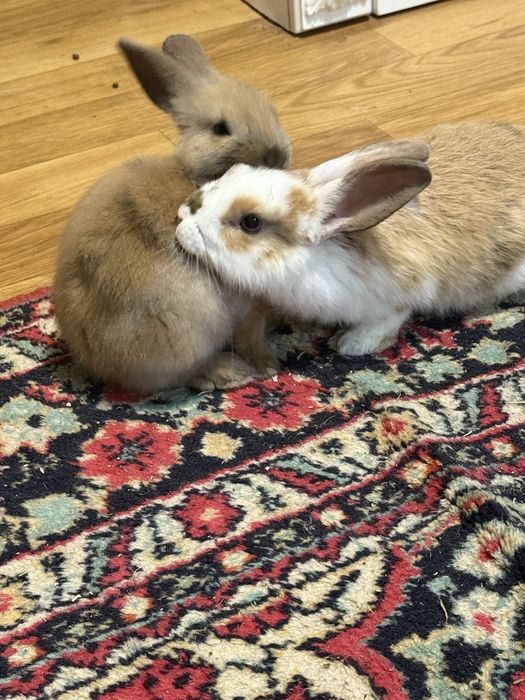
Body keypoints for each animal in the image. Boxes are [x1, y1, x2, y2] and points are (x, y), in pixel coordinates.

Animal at [53, 34, 291, 394]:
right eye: (221, 128)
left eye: (271, 109)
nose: (277, 155)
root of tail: (96, 362)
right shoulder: (247, 306)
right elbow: (252, 335)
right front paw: (267, 364)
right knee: (181, 375)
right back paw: (229, 372)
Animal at [175, 120, 525, 357]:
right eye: (234, 171)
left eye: (251, 222)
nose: (180, 221)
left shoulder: (401, 292)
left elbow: (392, 317)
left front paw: (351, 344)